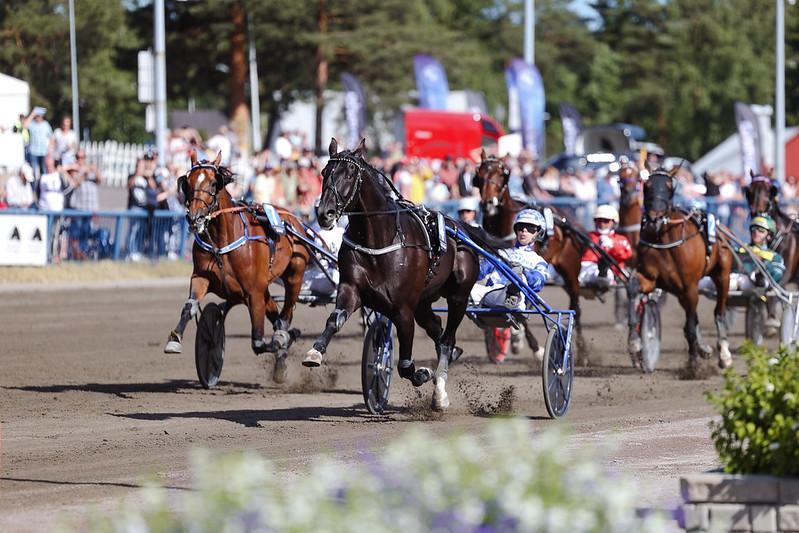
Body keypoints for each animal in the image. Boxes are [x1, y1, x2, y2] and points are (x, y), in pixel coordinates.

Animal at [164, 151, 310, 378]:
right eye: (187, 183)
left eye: (214, 183)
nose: (195, 219)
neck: (222, 241)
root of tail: (292, 217)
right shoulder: (201, 277)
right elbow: (189, 307)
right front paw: (174, 339)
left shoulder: (254, 293)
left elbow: (258, 343)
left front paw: (284, 338)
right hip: (265, 289)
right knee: (276, 315)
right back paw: (280, 361)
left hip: (294, 275)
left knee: (285, 315)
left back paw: (285, 337)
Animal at [304, 139, 506, 410]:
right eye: (324, 172)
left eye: (349, 174)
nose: (324, 213)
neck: (379, 239)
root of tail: (459, 228)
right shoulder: (352, 290)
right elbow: (334, 320)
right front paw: (315, 352)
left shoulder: (403, 309)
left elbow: (405, 365)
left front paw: (423, 374)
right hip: (424, 301)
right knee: (437, 328)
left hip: (459, 296)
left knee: (447, 338)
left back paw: (440, 393)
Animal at [472, 151, 592, 354]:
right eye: (479, 175)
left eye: (501, 175)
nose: (488, 203)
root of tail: (565, 220)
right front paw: (517, 338)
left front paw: (534, 347)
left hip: (570, 269)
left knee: (575, 305)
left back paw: (581, 349)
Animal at [628, 168, 736, 368]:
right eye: (646, 184)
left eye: (670, 187)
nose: (654, 218)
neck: (664, 239)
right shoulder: (652, 279)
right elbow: (633, 288)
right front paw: (635, 342)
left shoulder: (689, 286)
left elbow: (691, 327)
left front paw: (693, 363)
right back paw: (703, 348)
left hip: (722, 275)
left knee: (719, 311)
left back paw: (724, 354)